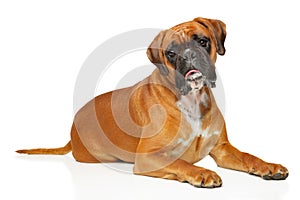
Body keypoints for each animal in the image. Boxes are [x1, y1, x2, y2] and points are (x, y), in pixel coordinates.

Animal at [17, 16, 288, 188]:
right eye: (171, 53)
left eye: (202, 41)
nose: (189, 55)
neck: (192, 99)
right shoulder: (149, 157)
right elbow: (180, 163)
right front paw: (201, 173)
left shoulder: (222, 149)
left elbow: (248, 156)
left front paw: (269, 166)